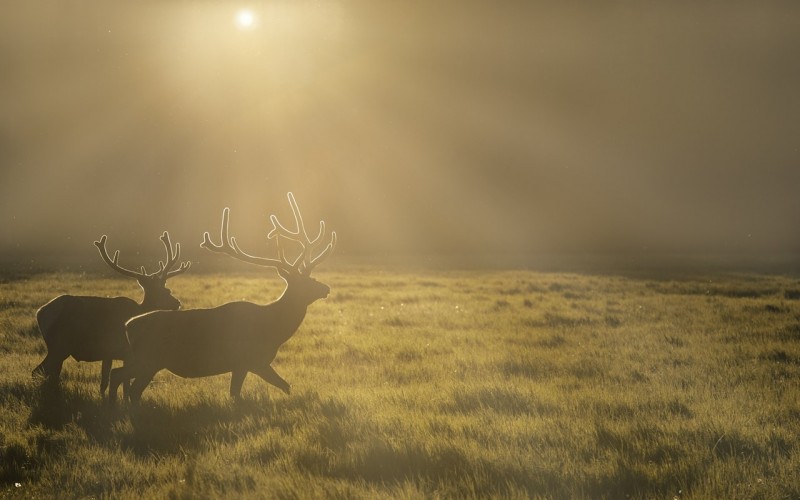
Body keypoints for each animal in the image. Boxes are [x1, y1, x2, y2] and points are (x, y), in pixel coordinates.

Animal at [33, 231, 193, 394]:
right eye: (166, 291)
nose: (177, 303)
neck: (140, 309)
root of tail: (40, 313)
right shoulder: (127, 352)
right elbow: (125, 384)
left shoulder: (108, 353)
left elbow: (104, 382)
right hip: (59, 345)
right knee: (39, 370)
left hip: (58, 348)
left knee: (51, 372)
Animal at [108, 193, 334, 404]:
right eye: (305, 282)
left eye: (312, 277)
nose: (326, 288)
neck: (274, 330)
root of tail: (129, 325)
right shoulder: (249, 360)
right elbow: (249, 392)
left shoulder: (248, 364)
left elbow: (278, 387)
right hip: (149, 359)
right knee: (124, 381)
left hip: (146, 361)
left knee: (121, 377)